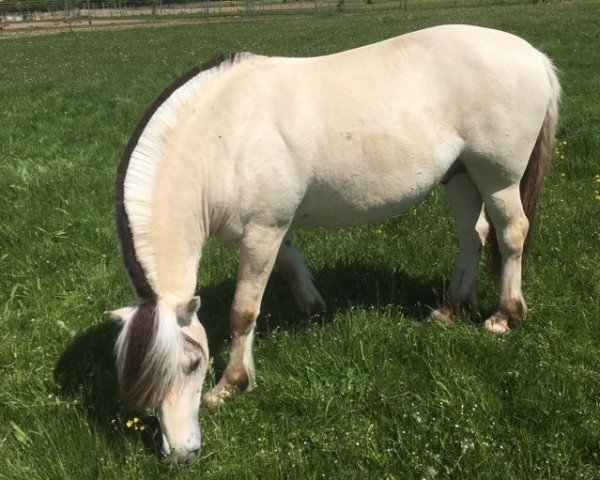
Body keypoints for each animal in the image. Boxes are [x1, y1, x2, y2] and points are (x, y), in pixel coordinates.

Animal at [106, 25, 556, 462]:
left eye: (193, 364)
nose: (181, 455)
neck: (225, 134)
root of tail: (534, 56)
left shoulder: (262, 232)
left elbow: (243, 312)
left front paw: (231, 385)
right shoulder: (273, 229)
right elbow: (290, 268)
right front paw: (314, 311)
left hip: (497, 177)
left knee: (511, 232)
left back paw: (504, 316)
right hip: (461, 174)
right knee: (472, 235)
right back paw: (453, 307)